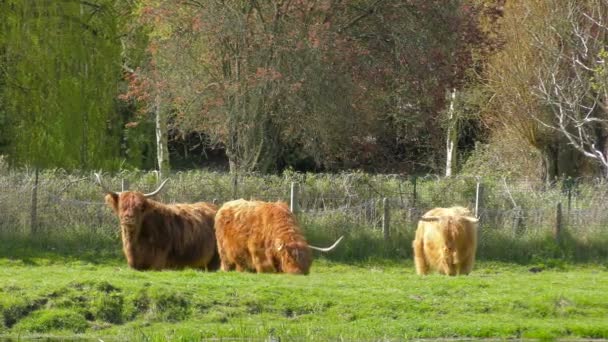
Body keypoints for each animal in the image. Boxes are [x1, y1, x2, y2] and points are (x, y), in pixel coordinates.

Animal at [216, 198, 344, 276]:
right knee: (227, 262)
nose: (298, 273)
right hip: (223, 249)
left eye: (309, 260)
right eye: (289, 258)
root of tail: (224, 206)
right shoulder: (258, 253)